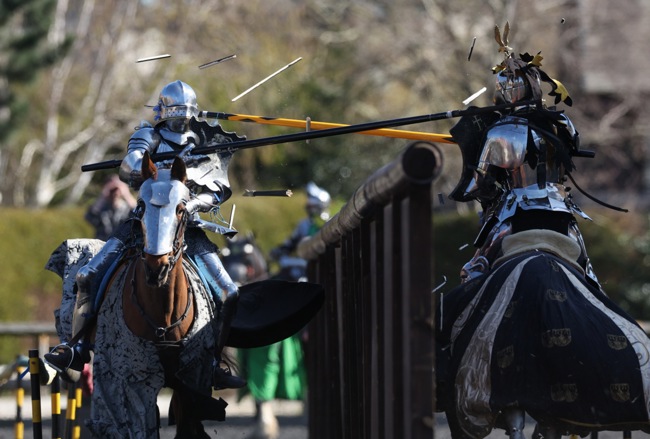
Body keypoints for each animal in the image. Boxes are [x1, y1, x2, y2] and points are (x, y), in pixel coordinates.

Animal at [46, 153, 325, 438]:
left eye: (180, 209)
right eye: (141, 206)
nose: (157, 267)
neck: (163, 315)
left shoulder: (193, 381)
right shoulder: (127, 384)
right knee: (86, 277)